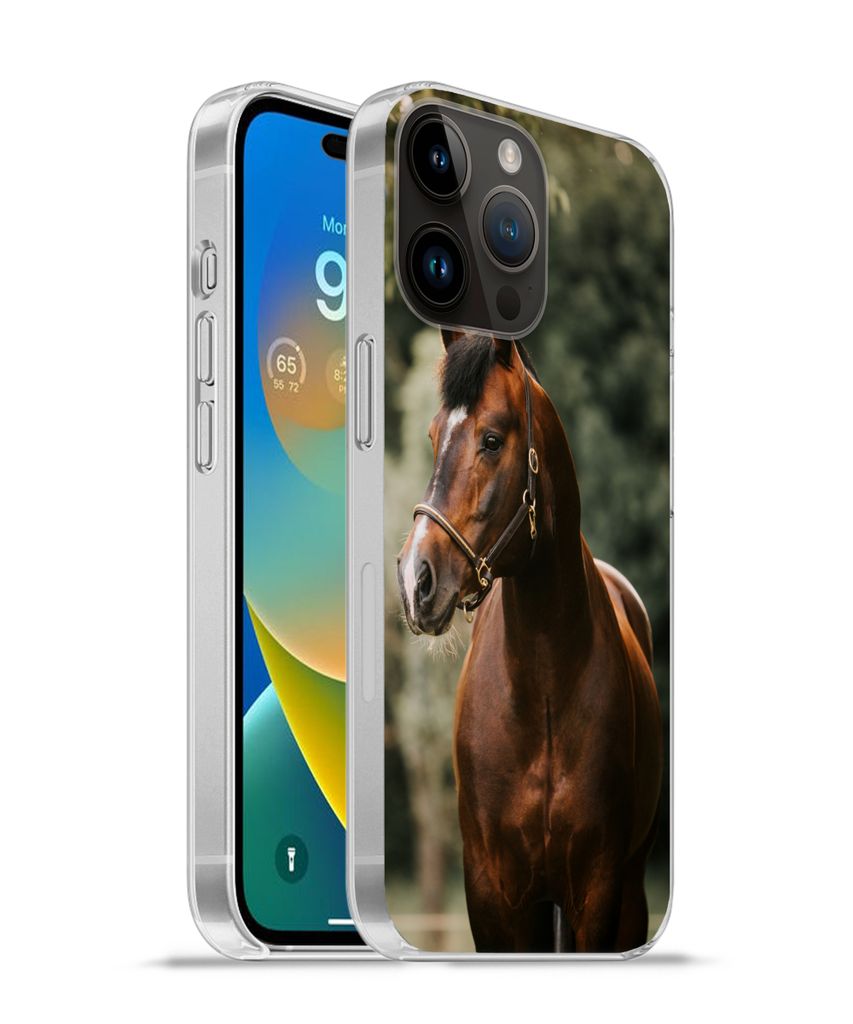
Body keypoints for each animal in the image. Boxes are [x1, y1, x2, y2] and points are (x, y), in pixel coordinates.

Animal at [396, 330, 663, 953]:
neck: (542, 686)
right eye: (432, 435)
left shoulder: (597, 889)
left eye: (492, 439)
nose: (416, 579)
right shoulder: (492, 896)